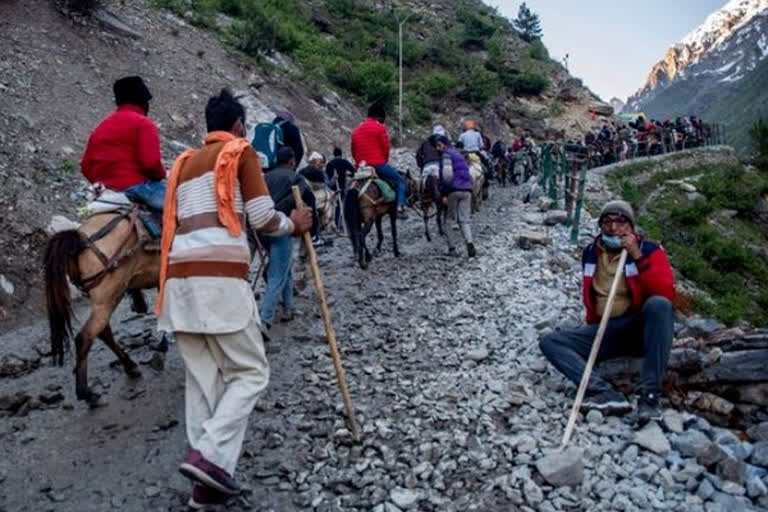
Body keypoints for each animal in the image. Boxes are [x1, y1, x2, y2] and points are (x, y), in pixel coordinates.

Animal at [43, 209, 159, 408]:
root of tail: (80, 239)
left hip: (104, 300)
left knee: (103, 331)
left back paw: (129, 366)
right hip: (108, 297)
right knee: (86, 337)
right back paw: (87, 394)